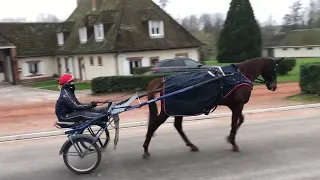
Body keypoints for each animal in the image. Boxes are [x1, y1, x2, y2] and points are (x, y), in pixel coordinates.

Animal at [142, 56, 284, 159]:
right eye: (275, 69)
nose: (274, 86)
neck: (239, 75)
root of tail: (162, 80)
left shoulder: (234, 105)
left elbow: (240, 120)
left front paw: (229, 138)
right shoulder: (238, 105)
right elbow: (234, 123)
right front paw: (233, 142)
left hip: (179, 109)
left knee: (177, 126)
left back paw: (191, 145)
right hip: (169, 110)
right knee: (154, 124)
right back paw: (145, 149)